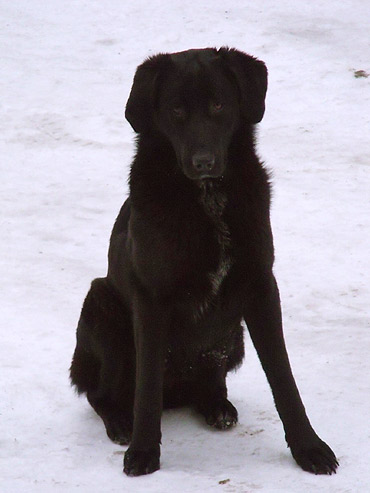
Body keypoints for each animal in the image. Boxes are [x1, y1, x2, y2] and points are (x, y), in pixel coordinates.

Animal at [69, 48, 338, 474]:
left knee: (210, 381)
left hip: (232, 336)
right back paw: (121, 422)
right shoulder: (151, 297)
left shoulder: (261, 285)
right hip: (103, 309)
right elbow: (147, 385)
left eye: (218, 105)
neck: (208, 200)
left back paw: (217, 406)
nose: (203, 161)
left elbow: (284, 378)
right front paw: (144, 451)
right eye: (176, 110)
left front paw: (308, 447)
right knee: (102, 394)